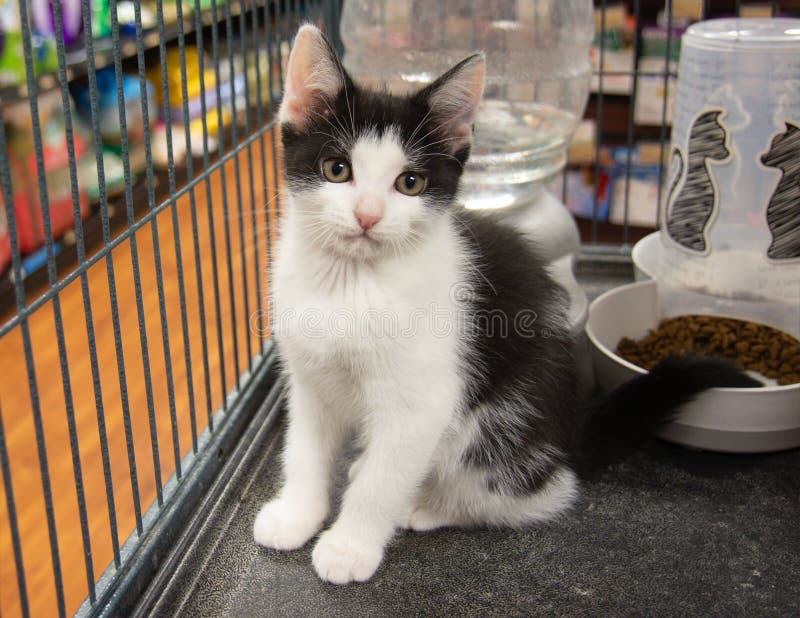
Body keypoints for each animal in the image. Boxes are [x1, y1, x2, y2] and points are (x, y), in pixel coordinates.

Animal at [252, 24, 756, 584]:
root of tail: (566, 440)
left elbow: (382, 481)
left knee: (536, 494)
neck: (351, 281)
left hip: (499, 429)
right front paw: (296, 514)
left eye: (410, 183)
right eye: (337, 169)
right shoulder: (308, 378)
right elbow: (304, 449)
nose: (367, 215)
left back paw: (427, 505)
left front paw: (349, 546)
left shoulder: (422, 402)